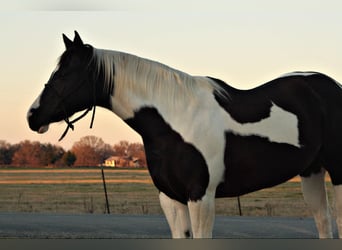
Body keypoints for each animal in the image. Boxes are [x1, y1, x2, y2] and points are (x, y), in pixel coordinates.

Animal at [27, 31, 342, 238]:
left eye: (65, 74)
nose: (33, 116)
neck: (176, 121)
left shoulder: (200, 198)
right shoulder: (171, 198)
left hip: (337, 173)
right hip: (311, 171)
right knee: (324, 222)